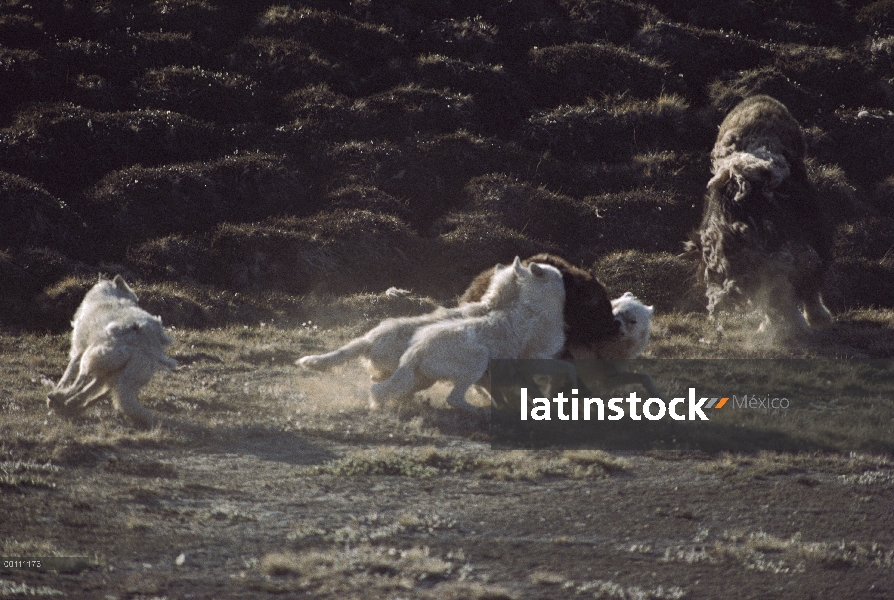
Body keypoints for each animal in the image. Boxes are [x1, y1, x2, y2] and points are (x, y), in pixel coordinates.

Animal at [46, 276, 178, 426]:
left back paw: (57, 397)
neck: (109, 295)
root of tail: (142, 342)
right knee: (105, 394)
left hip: (90, 358)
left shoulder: (78, 353)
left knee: (80, 384)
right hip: (122, 376)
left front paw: (57, 394)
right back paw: (73, 405)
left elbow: (66, 376)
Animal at [372, 262, 568, 412]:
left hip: (421, 379)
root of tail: (416, 350)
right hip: (477, 361)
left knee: (380, 389)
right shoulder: (534, 359)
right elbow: (565, 370)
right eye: (557, 275)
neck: (533, 308)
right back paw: (480, 411)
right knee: (453, 399)